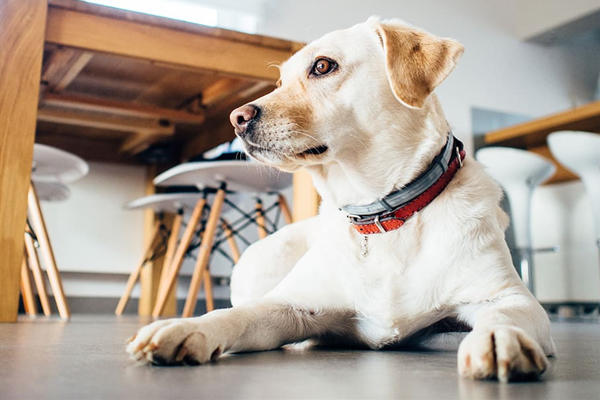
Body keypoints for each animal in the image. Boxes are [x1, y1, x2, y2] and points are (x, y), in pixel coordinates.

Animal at [125, 17, 552, 382]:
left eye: (323, 66)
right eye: (279, 80)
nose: (237, 118)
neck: (382, 214)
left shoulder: (510, 296)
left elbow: (504, 314)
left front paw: (498, 338)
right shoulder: (288, 305)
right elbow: (236, 314)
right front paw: (186, 328)